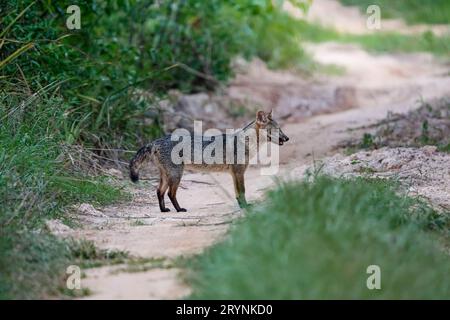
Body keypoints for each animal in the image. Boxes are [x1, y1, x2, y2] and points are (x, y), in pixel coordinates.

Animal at [129, 110, 288, 212]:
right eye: (277, 129)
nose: (287, 138)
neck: (246, 142)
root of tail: (155, 141)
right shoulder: (239, 172)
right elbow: (242, 191)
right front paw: (245, 207)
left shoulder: (234, 174)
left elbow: (237, 193)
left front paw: (241, 206)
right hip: (176, 175)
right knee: (170, 194)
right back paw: (179, 209)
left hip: (166, 176)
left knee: (159, 191)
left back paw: (164, 210)